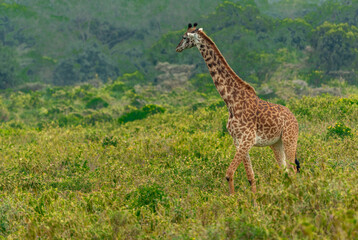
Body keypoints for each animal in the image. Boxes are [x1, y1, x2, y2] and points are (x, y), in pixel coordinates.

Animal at [176, 22, 300, 196]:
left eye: (185, 37)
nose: (177, 48)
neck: (231, 101)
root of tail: (294, 118)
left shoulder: (247, 139)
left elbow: (229, 173)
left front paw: (233, 200)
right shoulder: (238, 140)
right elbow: (250, 177)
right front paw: (253, 201)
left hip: (290, 138)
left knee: (293, 170)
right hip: (276, 143)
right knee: (286, 171)